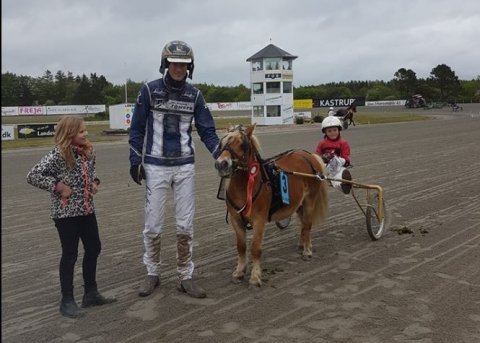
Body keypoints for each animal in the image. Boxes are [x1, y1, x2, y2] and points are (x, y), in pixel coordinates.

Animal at [215, 125, 330, 286]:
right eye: (222, 143)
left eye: (243, 145)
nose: (222, 164)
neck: (245, 187)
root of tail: (309, 156)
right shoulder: (235, 220)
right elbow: (241, 247)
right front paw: (239, 271)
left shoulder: (259, 219)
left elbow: (255, 248)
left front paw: (255, 276)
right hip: (299, 204)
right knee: (303, 225)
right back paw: (302, 245)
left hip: (309, 201)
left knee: (307, 225)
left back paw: (307, 250)